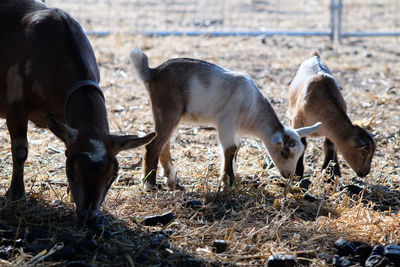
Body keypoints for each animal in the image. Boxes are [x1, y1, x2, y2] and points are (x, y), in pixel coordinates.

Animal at [0, 0, 155, 227]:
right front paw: (17, 196)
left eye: (113, 176)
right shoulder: (15, 102)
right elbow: (20, 151)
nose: (88, 218)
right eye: (70, 170)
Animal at [288, 51, 376, 179]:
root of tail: (314, 56)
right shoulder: (297, 121)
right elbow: (302, 144)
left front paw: (329, 175)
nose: (365, 172)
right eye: (364, 152)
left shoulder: (331, 132)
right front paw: (298, 173)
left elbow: (330, 146)